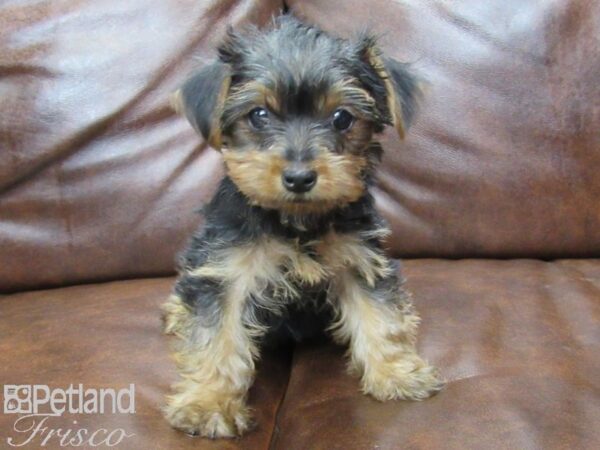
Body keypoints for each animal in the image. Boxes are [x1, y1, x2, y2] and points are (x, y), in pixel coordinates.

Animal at [162, 15, 442, 438]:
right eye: (258, 115)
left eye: (342, 118)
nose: (298, 177)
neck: (294, 221)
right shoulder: (226, 268)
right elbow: (216, 335)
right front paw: (207, 403)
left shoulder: (358, 258)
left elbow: (379, 315)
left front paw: (395, 371)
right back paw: (177, 313)